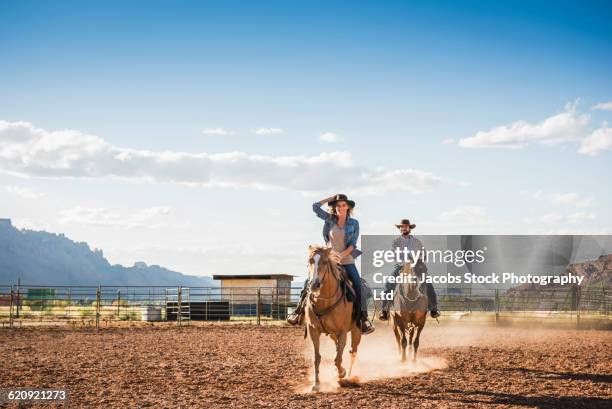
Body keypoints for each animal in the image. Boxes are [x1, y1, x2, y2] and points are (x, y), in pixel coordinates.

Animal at [304, 244, 360, 390]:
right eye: (310, 261)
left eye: (324, 262)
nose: (314, 284)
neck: (325, 302)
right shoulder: (313, 330)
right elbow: (317, 358)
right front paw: (316, 384)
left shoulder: (342, 332)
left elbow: (338, 358)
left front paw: (341, 373)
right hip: (332, 334)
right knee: (339, 348)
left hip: (356, 331)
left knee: (352, 352)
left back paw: (349, 376)